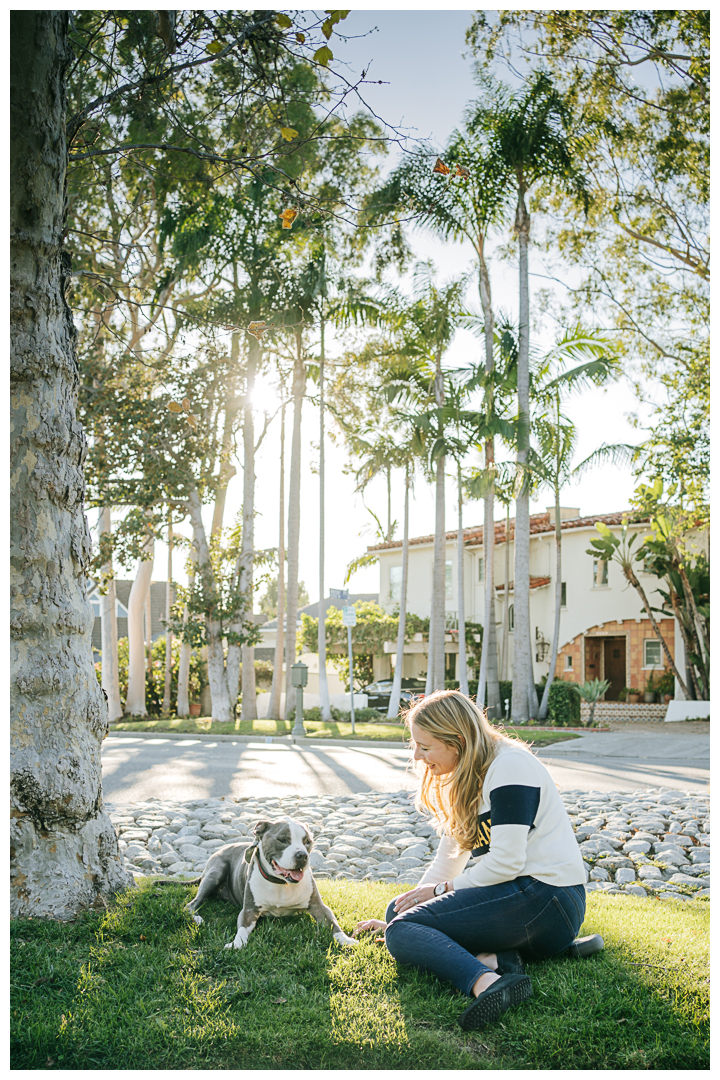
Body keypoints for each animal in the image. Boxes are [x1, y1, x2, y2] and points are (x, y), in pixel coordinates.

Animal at [184, 816, 356, 954]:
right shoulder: (249, 911)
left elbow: (333, 923)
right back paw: (198, 918)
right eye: (282, 840)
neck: (281, 884)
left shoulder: (318, 906)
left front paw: (345, 939)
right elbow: (241, 930)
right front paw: (236, 944)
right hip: (216, 871)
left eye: (308, 842)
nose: (302, 855)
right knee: (191, 904)